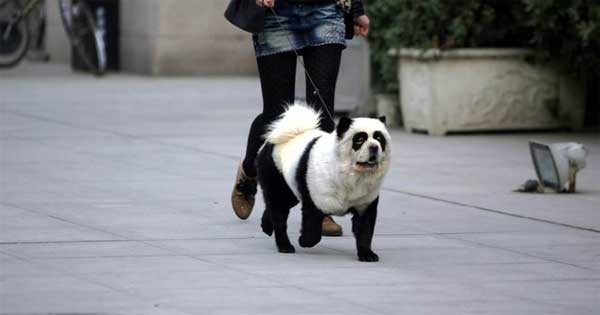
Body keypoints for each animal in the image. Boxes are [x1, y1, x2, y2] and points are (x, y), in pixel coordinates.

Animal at [255, 102, 392, 262]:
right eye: (359, 140)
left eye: (379, 139)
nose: (374, 147)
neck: (354, 173)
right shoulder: (317, 190)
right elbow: (312, 224)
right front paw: (304, 240)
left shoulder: (365, 199)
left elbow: (365, 227)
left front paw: (367, 254)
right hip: (276, 170)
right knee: (279, 208)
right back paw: (285, 246)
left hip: (291, 183)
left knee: (281, 203)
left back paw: (266, 225)